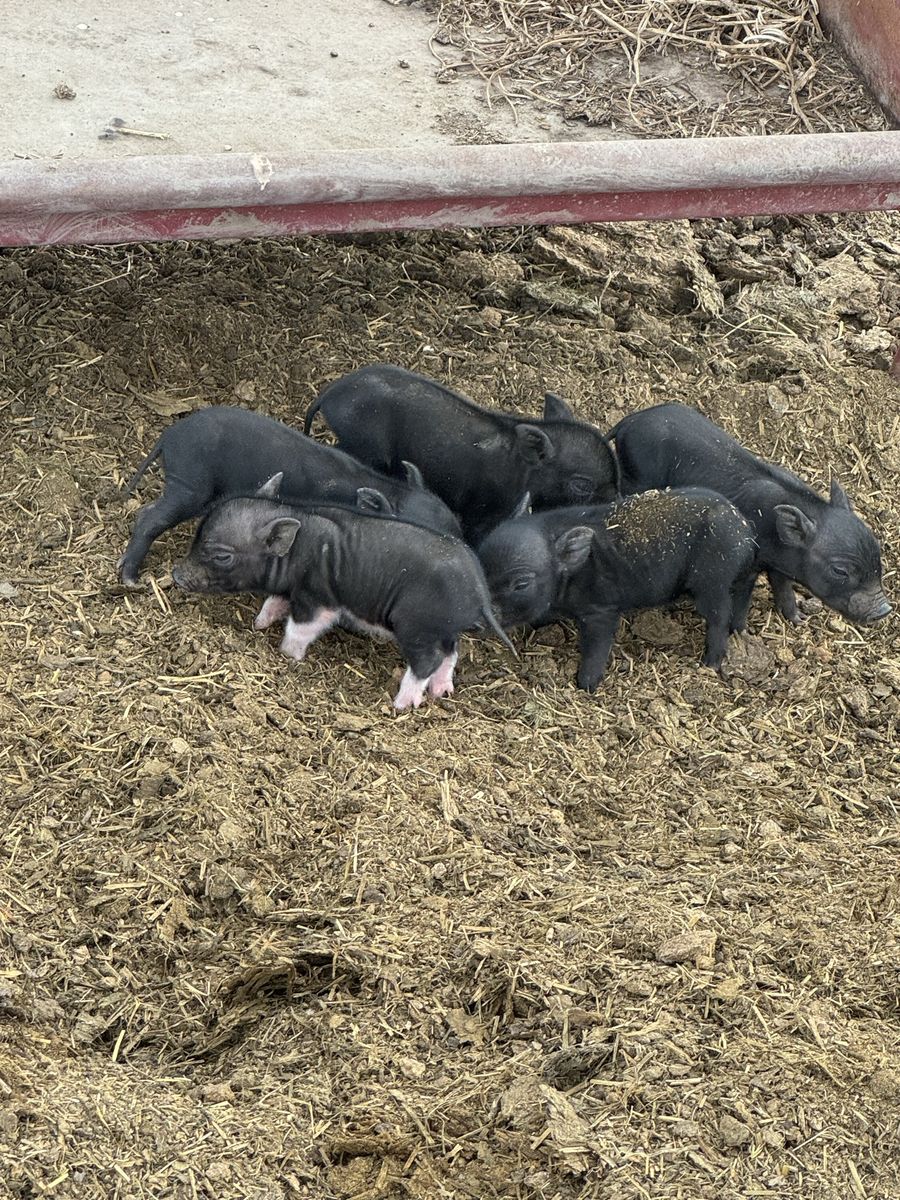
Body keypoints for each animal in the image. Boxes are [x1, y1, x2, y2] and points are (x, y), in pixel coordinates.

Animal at [170, 492, 514, 710]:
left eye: (222, 556)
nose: (175, 574)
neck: (298, 550)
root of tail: (479, 591)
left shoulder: (318, 597)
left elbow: (300, 627)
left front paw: (288, 656)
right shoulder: (288, 588)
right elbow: (273, 602)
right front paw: (258, 625)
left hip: (416, 625)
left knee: (427, 660)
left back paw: (401, 704)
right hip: (443, 628)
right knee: (450, 654)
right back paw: (441, 692)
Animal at [303, 364, 619, 541]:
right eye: (582, 485)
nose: (616, 500)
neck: (522, 471)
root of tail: (329, 394)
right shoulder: (481, 510)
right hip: (362, 444)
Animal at [477, 488, 757, 691]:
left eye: (521, 583)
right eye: (481, 564)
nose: (481, 617)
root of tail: (744, 528)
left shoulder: (602, 609)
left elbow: (598, 645)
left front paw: (585, 686)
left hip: (712, 581)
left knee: (719, 616)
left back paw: (709, 663)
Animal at [610, 403, 890, 627]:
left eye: (877, 558)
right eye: (840, 571)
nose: (885, 610)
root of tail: (628, 421)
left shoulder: (779, 566)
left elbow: (783, 588)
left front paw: (799, 621)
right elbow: (742, 598)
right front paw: (740, 632)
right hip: (637, 478)